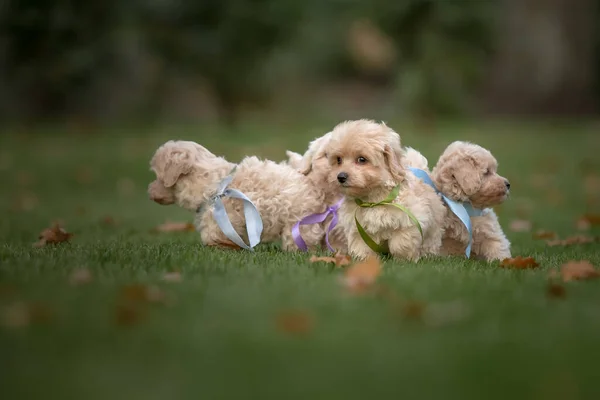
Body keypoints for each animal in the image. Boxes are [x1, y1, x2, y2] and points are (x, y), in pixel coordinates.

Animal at [148, 141, 326, 250]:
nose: (149, 191)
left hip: (298, 220)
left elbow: (214, 238)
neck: (215, 185)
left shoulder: (220, 222)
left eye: (158, 176)